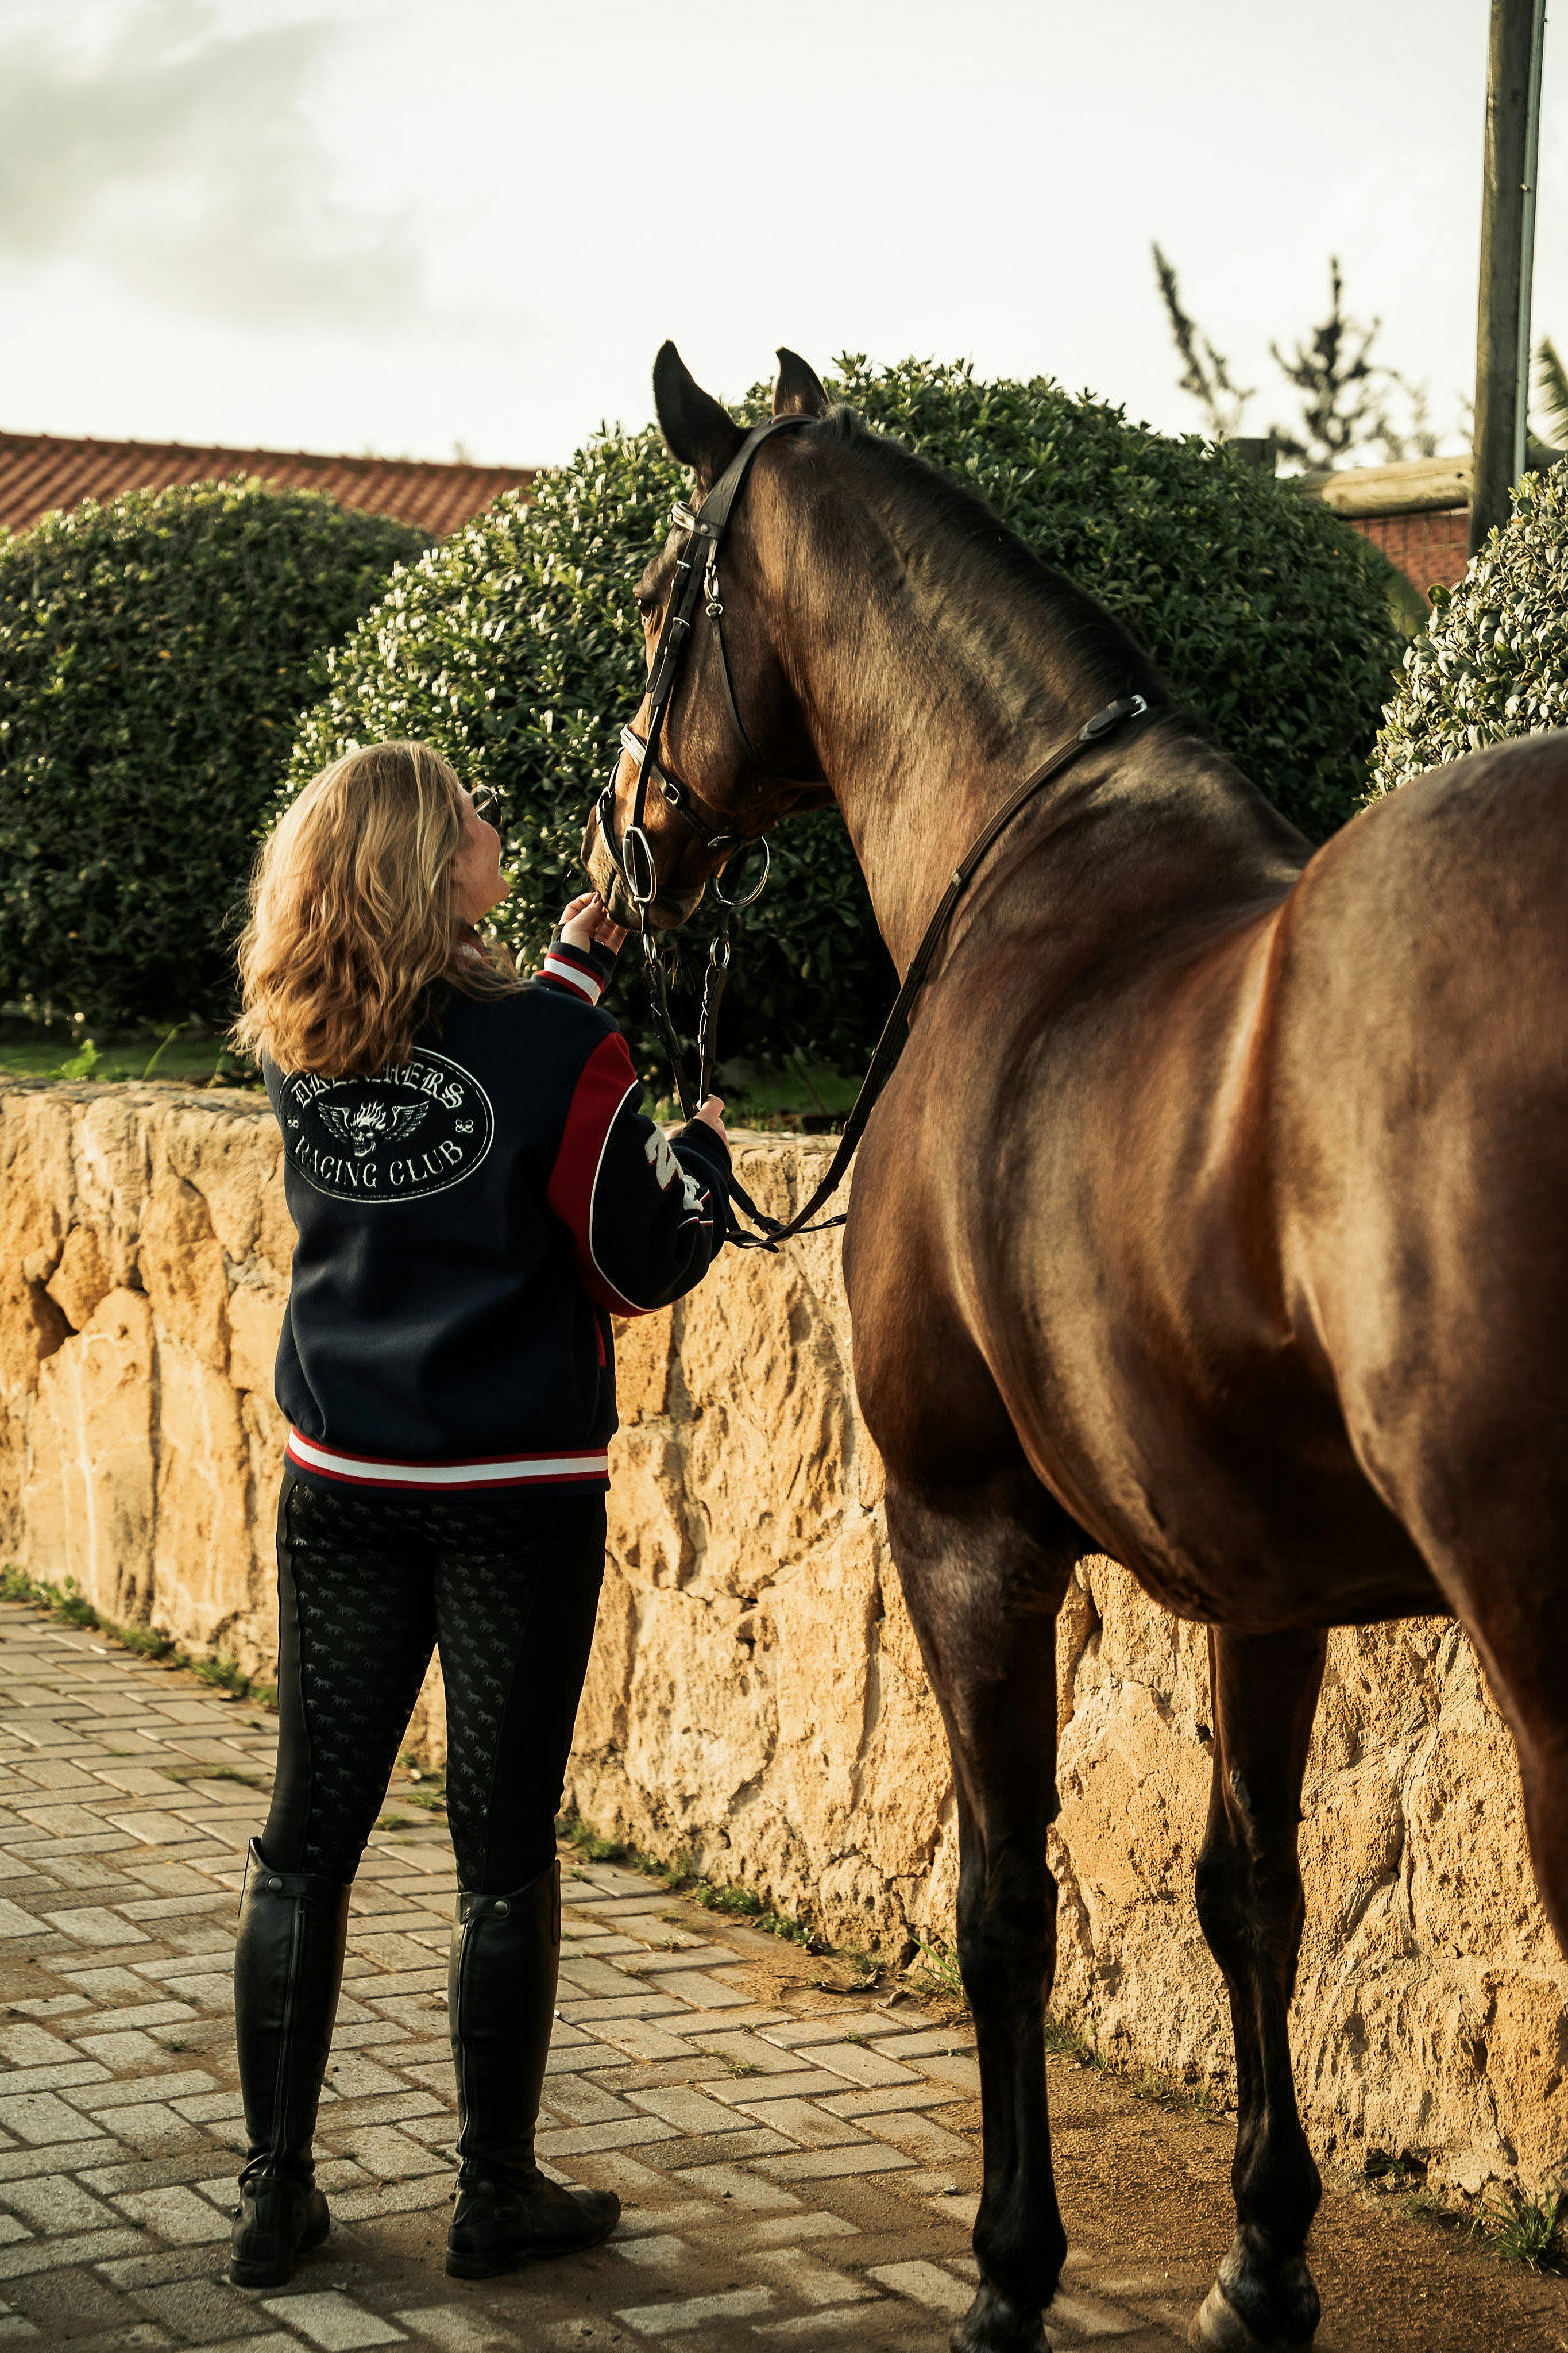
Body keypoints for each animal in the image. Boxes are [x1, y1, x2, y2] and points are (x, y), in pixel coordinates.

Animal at [582, 342, 1568, 2353]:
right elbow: (1250, 1888)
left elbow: (1005, 1903)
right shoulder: (1264, 1581)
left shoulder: (964, 1536)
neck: (1029, 871)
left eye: (657, 599)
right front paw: (1262, 2260)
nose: (621, 851)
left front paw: (1007, 2269)